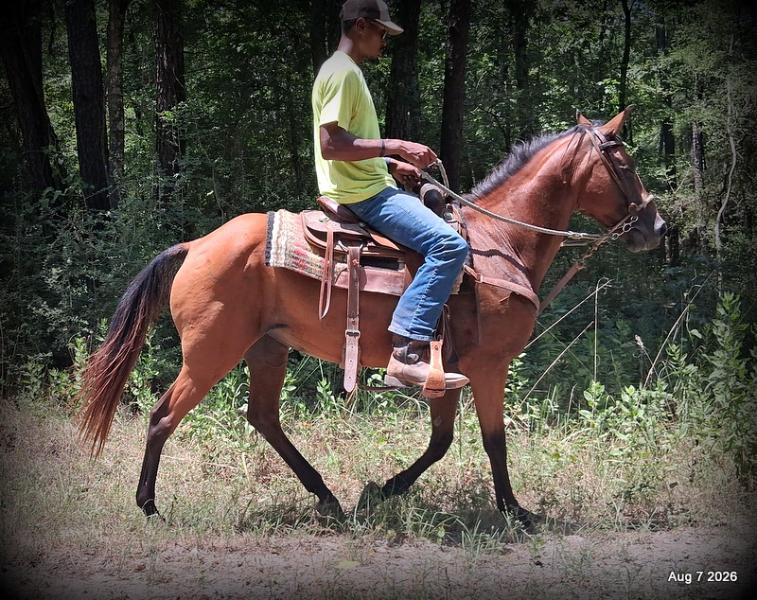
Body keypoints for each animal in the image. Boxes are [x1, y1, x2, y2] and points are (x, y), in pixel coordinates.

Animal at [79, 108, 667, 527]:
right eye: (625, 164)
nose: (657, 228)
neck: (501, 242)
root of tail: (196, 245)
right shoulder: (487, 366)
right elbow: (493, 440)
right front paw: (516, 512)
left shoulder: (446, 372)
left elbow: (442, 441)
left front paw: (384, 489)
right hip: (210, 355)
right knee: (163, 417)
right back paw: (149, 506)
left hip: (267, 348)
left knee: (265, 418)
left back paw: (329, 498)